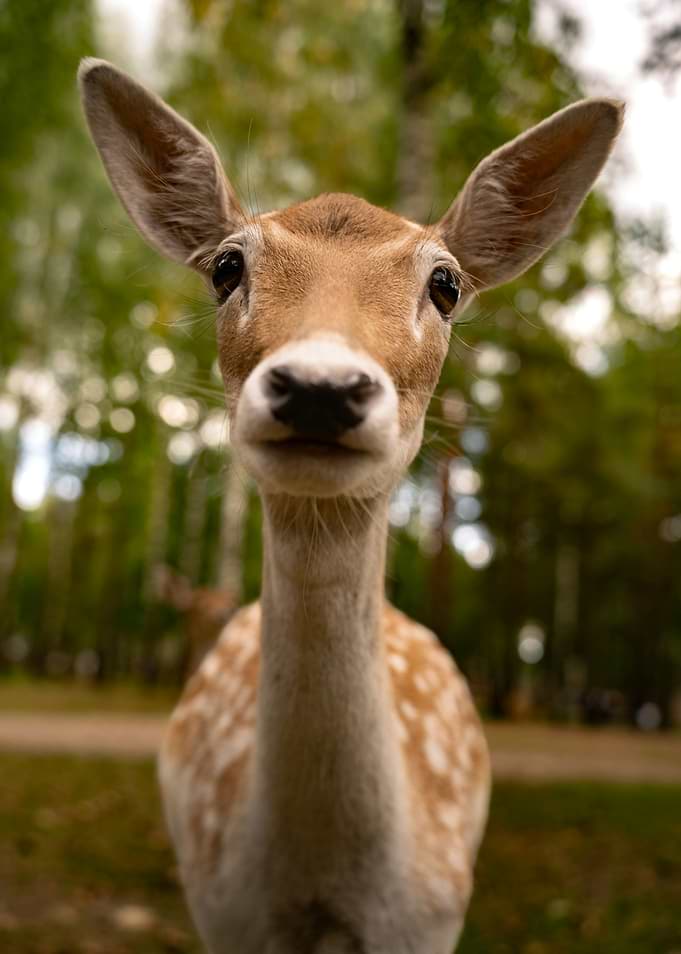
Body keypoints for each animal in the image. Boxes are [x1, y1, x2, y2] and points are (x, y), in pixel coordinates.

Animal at [79, 57, 623, 954]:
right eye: (226, 267)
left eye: (445, 283)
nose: (319, 388)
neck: (322, 896)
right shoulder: (219, 909)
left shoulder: (434, 919)